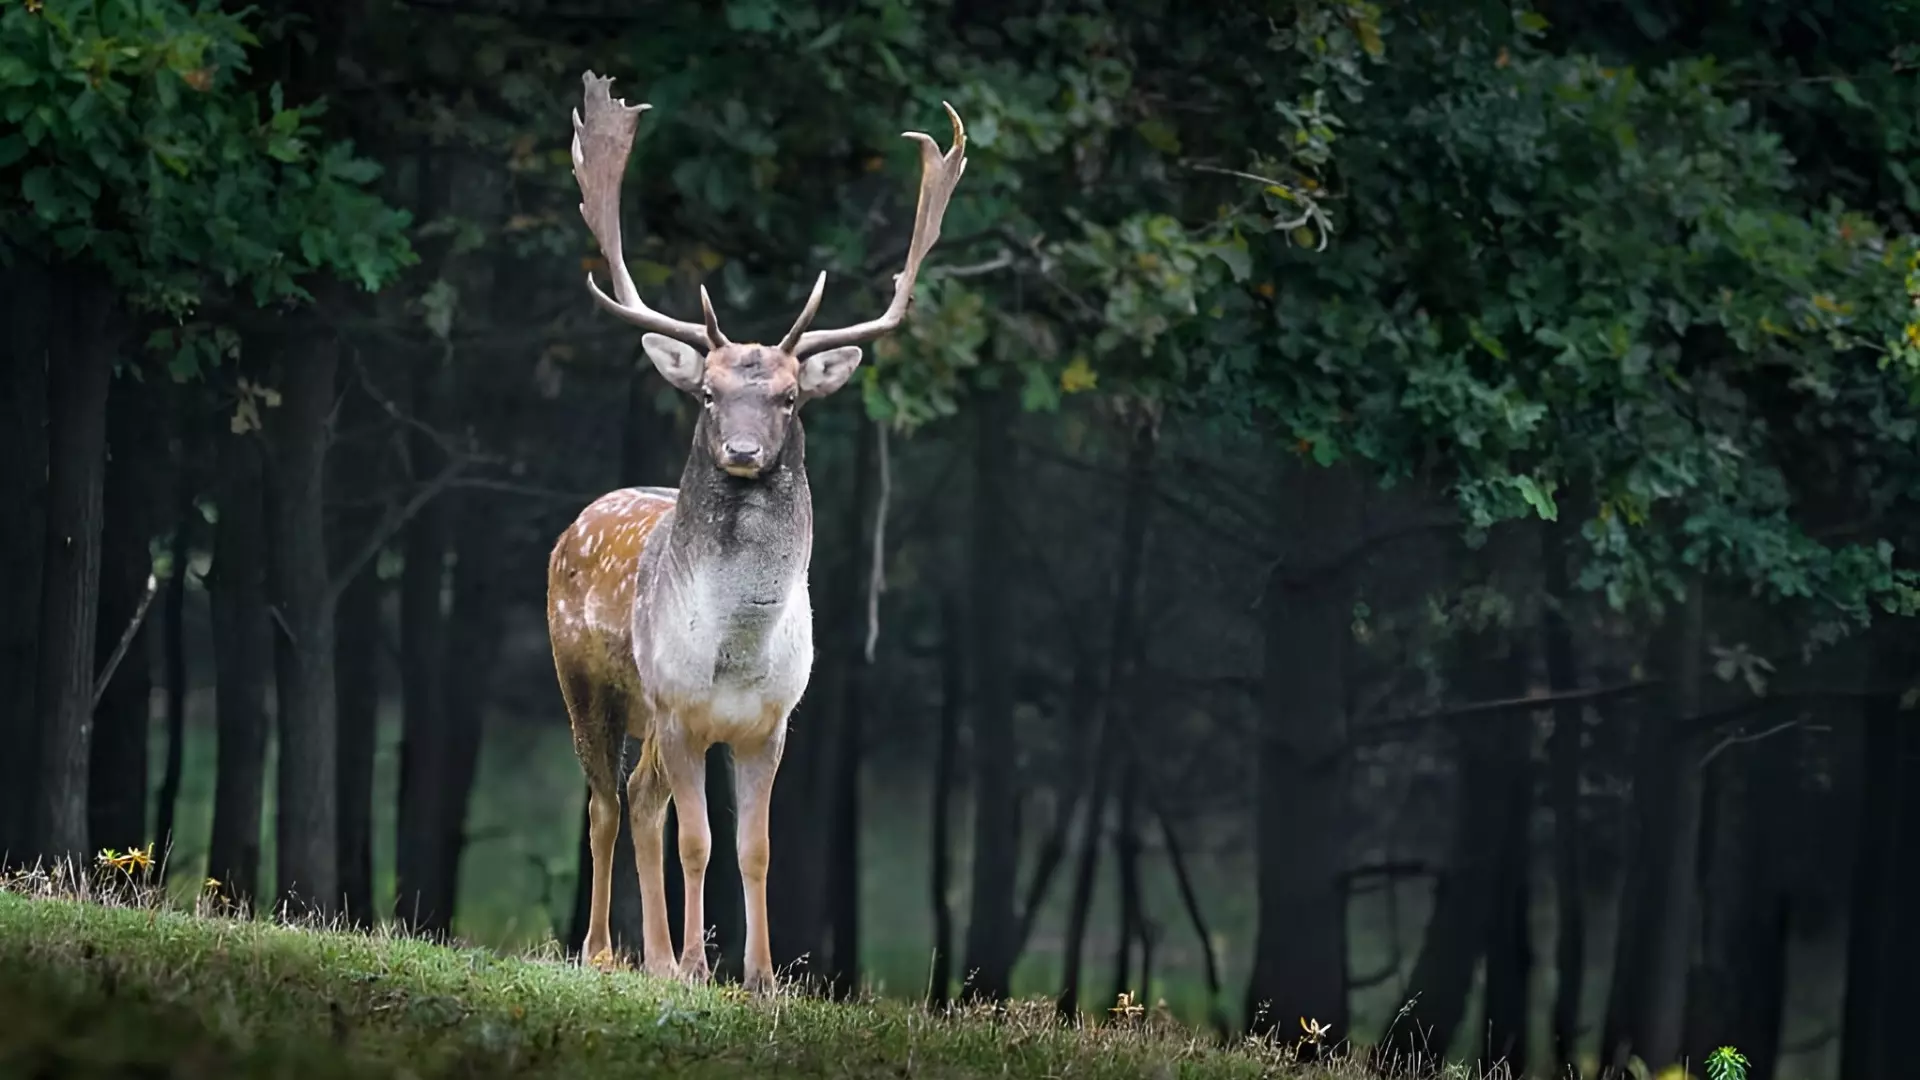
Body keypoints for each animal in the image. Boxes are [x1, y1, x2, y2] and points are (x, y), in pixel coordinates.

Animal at [545, 69, 967, 991]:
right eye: (707, 393)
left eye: (789, 398)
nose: (741, 451)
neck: (736, 651)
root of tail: (577, 523)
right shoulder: (679, 709)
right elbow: (699, 843)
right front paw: (699, 967)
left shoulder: (770, 724)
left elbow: (756, 848)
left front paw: (762, 976)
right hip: (586, 684)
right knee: (603, 803)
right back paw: (604, 951)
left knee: (639, 802)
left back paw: (652, 957)